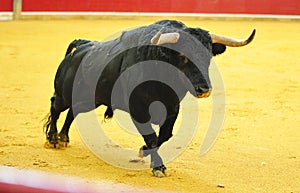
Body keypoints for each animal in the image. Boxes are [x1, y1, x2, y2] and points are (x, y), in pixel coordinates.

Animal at [44, 19, 255, 176]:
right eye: (183, 56)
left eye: (208, 57)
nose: (204, 89)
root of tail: (82, 45)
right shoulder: (138, 109)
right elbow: (152, 137)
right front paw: (158, 166)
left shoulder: (172, 108)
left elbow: (164, 136)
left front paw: (143, 151)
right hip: (64, 94)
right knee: (56, 107)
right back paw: (52, 138)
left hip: (90, 100)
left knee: (73, 112)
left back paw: (63, 138)